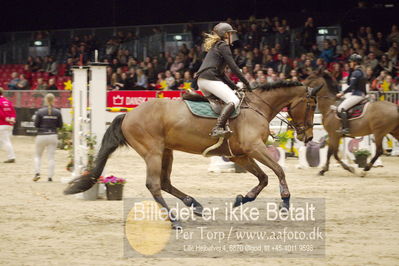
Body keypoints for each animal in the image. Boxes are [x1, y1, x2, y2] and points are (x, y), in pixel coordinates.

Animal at [65, 82, 322, 228]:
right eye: (311, 105)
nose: (308, 136)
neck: (258, 107)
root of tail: (127, 114)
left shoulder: (240, 155)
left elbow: (264, 177)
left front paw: (243, 198)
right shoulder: (254, 147)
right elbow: (278, 170)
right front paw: (285, 201)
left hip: (166, 152)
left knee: (165, 183)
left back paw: (195, 205)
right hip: (153, 152)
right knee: (154, 185)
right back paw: (174, 220)